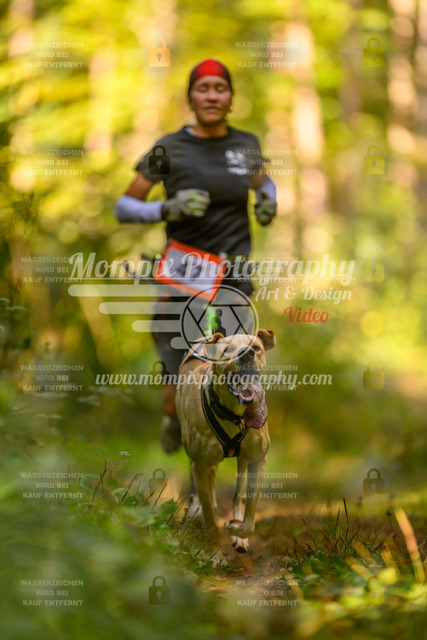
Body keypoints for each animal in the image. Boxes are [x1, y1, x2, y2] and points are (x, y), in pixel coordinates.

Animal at [176, 329, 275, 567]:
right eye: (227, 349)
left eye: (256, 347)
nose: (247, 354)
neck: (234, 414)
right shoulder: (200, 466)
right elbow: (211, 520)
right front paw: (215, 555)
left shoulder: (258, 459)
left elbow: (250, 512)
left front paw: (237, 530)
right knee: (210, 494)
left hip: (243, 459)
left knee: (238, 493)